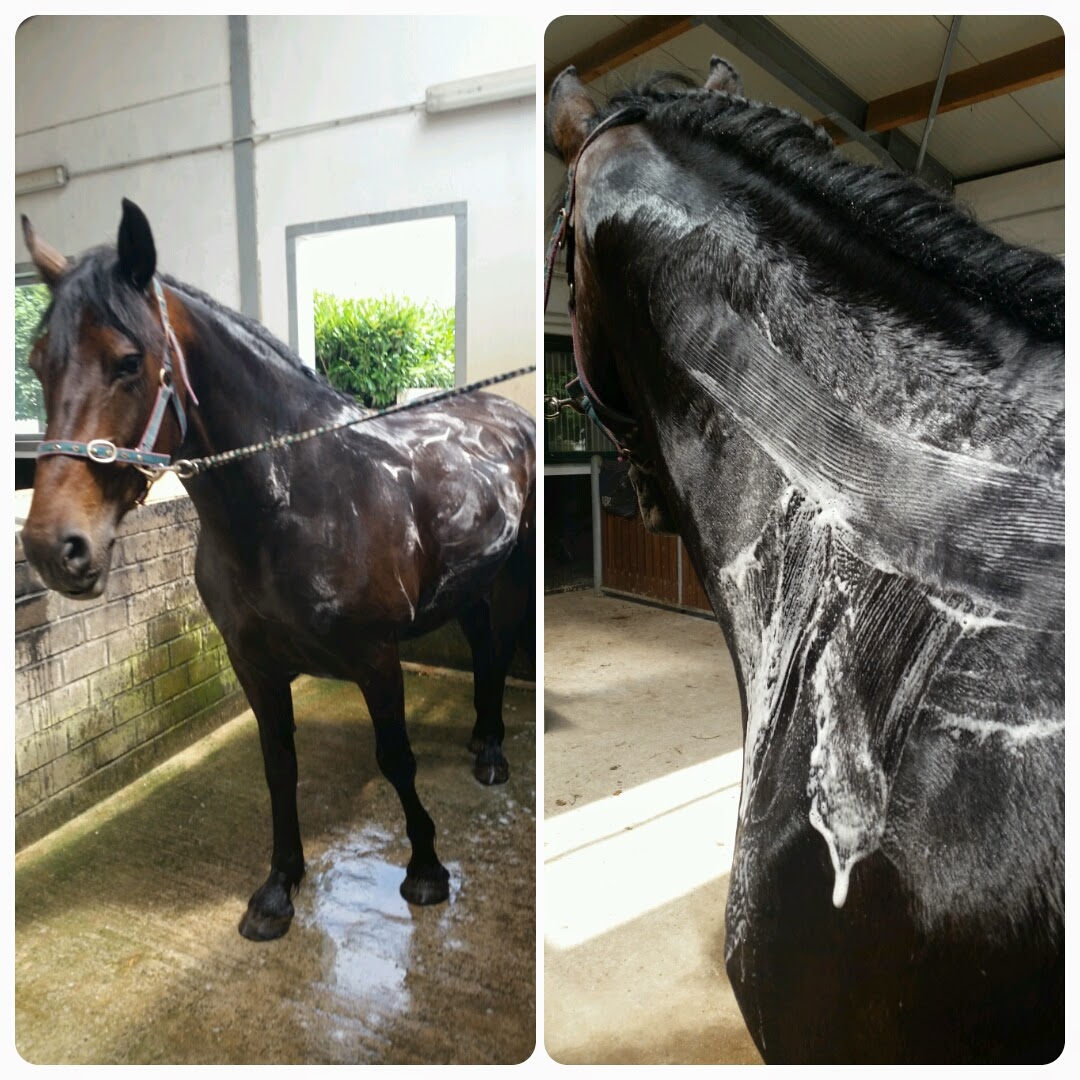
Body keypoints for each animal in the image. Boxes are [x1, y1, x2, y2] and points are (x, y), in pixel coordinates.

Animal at [20, 199, 536, 942]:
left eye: (127, 361)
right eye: (38, 363)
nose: (52, 546)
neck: (298, 498)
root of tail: (508, 412)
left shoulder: (376, 656)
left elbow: (396, 757)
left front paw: (427, 870)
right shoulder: (253, 663)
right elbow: (278, 765)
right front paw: (278, 888)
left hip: (515, 572)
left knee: (499, 647)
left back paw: (494, 756)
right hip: (466, 584)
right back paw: (480, 738)